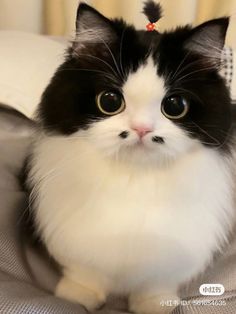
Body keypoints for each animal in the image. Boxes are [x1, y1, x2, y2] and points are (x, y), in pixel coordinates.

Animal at [25, 0, 236, 314]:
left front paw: (155, 305)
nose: (141, 129)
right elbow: (84, 273)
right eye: (110, 101)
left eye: (175, 106)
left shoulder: (172, 259)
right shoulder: (76, 244)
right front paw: (76, 296)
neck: (134, 177)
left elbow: (156, 284)